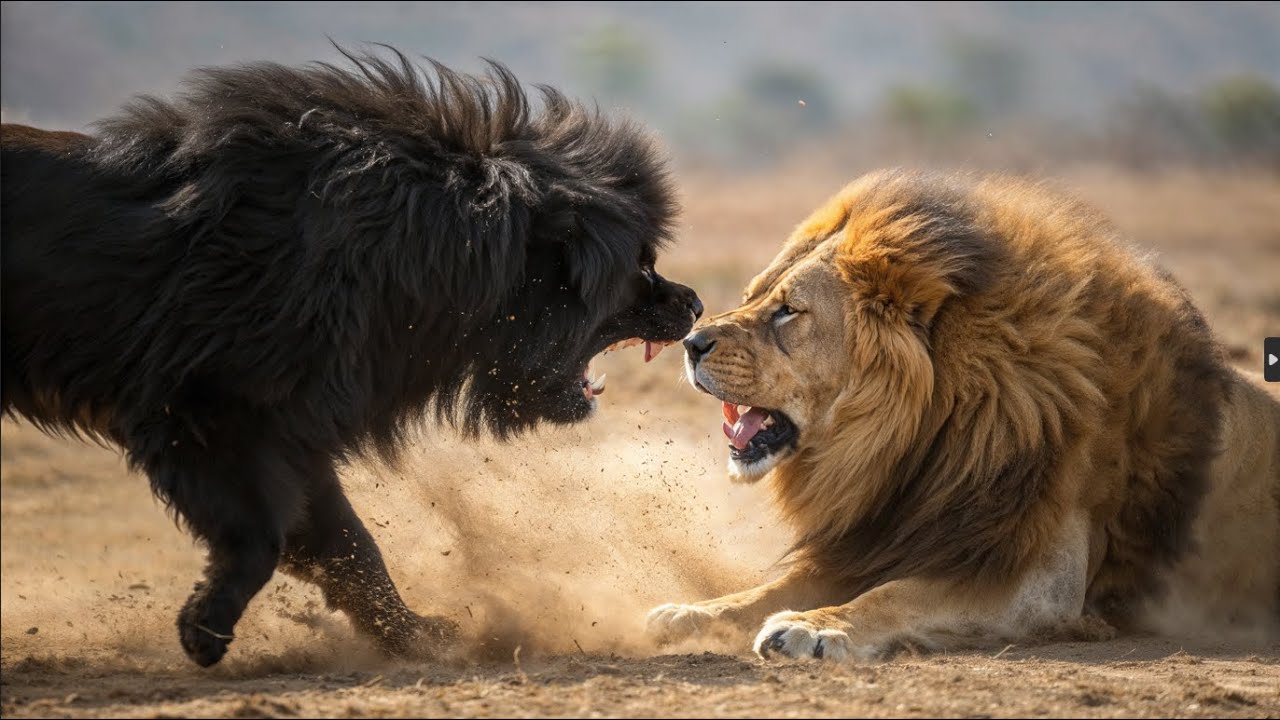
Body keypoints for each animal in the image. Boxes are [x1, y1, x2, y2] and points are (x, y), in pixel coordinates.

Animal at [648, 170, 1280, 662]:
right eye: (753, 296)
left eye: (788, 311)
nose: (692, 342)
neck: (916, 445)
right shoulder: (887, 534)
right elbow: (772, 588)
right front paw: (692, 614)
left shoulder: (1034, 582)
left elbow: (895, 595)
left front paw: (813, 627)